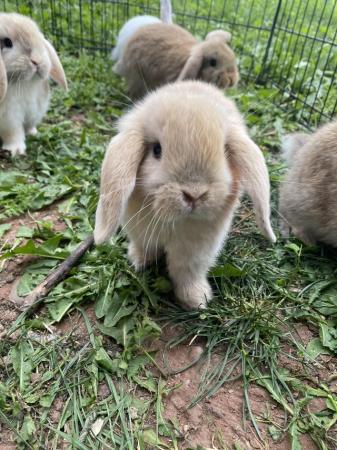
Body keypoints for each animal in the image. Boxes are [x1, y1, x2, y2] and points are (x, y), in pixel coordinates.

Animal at [0, 12, 67, 156]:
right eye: (7, 42)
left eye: (38, 36)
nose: (37, 61)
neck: (25, 84)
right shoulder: (9, 119)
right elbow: (14, 134)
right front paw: (15, 150)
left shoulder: (34, 111)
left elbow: (29, 125)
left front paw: (33, 133)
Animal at [93, 81, 274, 310]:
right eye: (157, 150)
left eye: (224, 152)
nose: (194, 194)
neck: (175, 222)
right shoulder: (140, 232)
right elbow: (145, 247)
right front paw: (139, 261)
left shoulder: (195, 250)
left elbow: (186, 271)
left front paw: (196, 300)